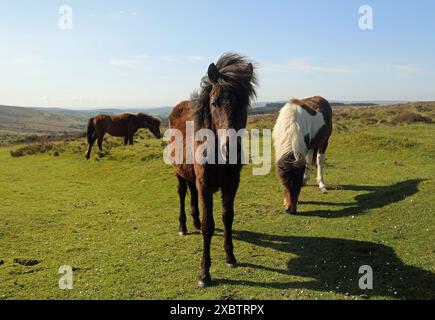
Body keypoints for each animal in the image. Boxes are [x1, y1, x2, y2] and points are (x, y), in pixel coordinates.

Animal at [169, 52, 258, 288]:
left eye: (244, 103)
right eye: (214, 103)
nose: (232, 148)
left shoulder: (231, 185)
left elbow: (228, 217)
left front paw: (230, 257)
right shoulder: (206, 186)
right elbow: (209, 226)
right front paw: (204, 274)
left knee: (192, 195)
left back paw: (195, 221)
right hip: (179, 174)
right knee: (182, 193)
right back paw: (183, 226)